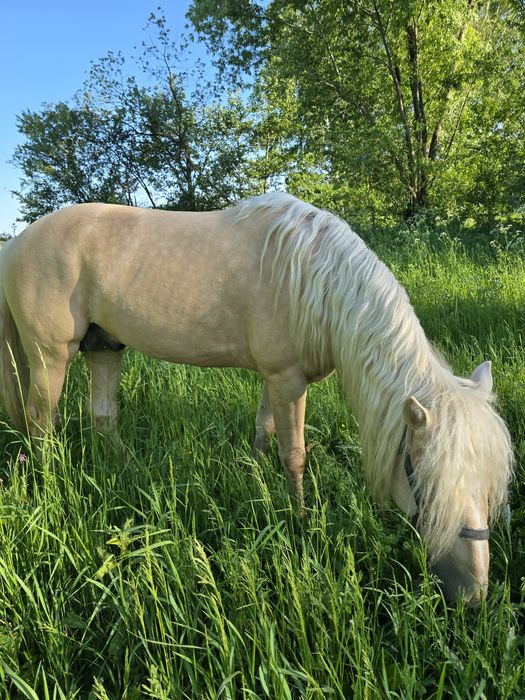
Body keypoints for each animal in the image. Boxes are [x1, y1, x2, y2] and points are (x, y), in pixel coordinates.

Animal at [0, 192, 513, 603]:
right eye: (422, 480)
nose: (474, 593)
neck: (315, 280)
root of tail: (17, 244)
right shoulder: (287, 379)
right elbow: (294, 454)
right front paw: (301, 521)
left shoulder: (274, 378)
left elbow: (264, 433)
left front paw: (256, 484)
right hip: (51, 356)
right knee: (41, 426)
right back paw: (52, 490)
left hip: (104, 347)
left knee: (102, 416)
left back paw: (126, 472)